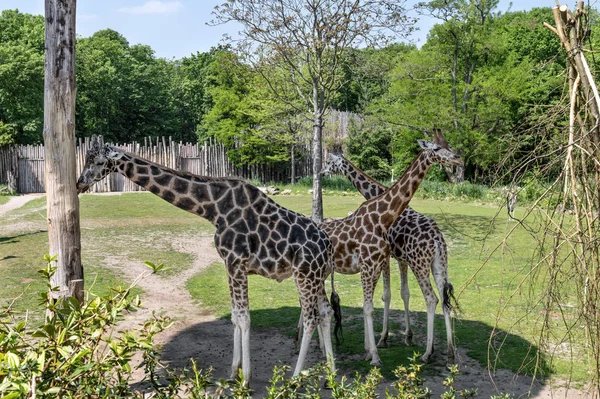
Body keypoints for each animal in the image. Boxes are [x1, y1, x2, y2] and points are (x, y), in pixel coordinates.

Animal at [77, 137, 342, 384]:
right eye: (87, 159)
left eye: (97, 161)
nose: (80, 183)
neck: (213, 209)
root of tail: (327, 245)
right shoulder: (229, 264)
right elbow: (235, 316)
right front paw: (233, 372)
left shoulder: (236, 262)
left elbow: (244, 318)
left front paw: (245, 378)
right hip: (317, 277)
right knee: (326, 312)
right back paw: (331, 374)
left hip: (304, 275)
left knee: (310, 317)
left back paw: (296, 377)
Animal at [316, 130, 462, 368]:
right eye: (439, 147)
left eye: (329, 161)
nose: (458, 159)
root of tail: (438, 240)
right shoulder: (394, 259)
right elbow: (397, 294)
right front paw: (398, 339)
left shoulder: (389, 259)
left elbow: (389, 295)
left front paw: (383, 341)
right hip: (436, 265)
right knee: (443, 300)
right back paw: (446, 352)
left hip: (425, 264)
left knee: (433, 299)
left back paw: (432, 353)